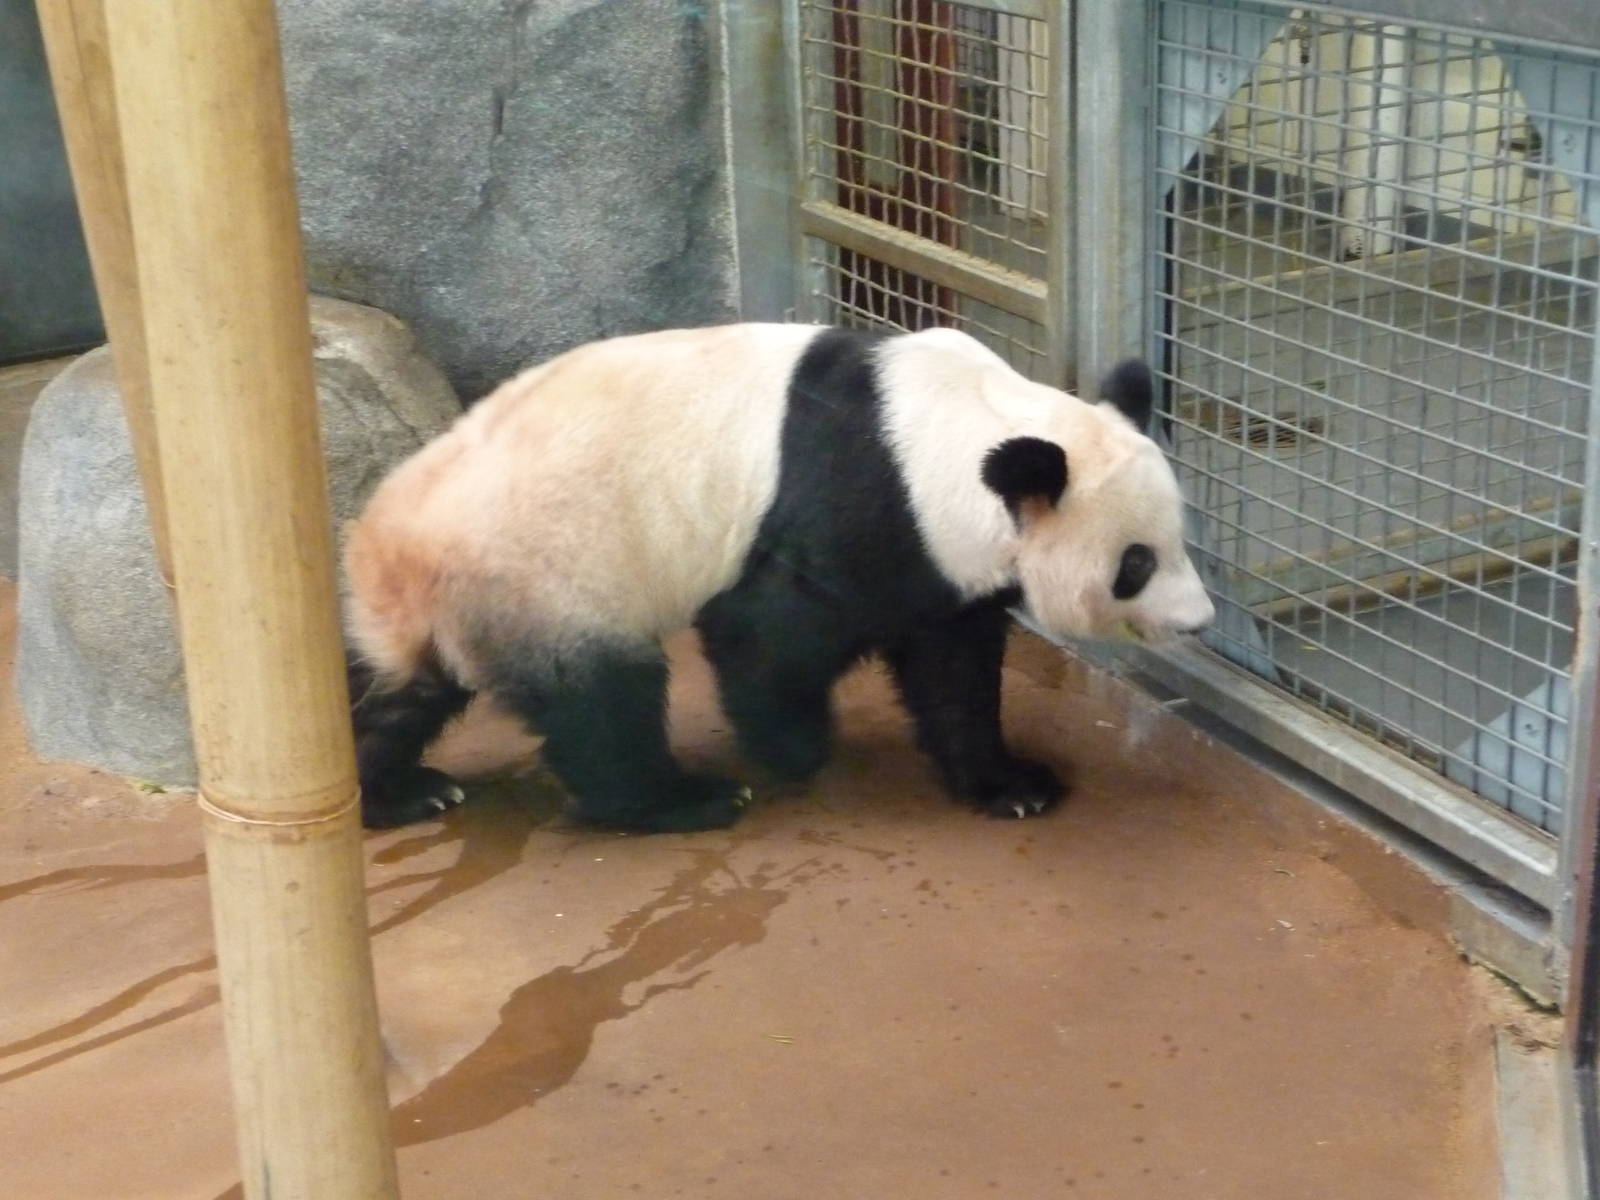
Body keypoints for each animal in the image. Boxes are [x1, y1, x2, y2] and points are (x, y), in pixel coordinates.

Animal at [343, 323, 1215, 832]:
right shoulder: (860, 502)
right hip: (547, 576)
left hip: (438, 612)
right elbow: (766, 634)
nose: (1199, 621)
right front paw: (794, 748)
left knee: (389, 694)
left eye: (1182, 538)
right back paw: (682, 800)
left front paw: (1012, 783)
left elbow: (952, 666)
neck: (964, 424)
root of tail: (400, 553)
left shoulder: (940, 554)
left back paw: (397, 791)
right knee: (603, 701)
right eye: (1136, 563)